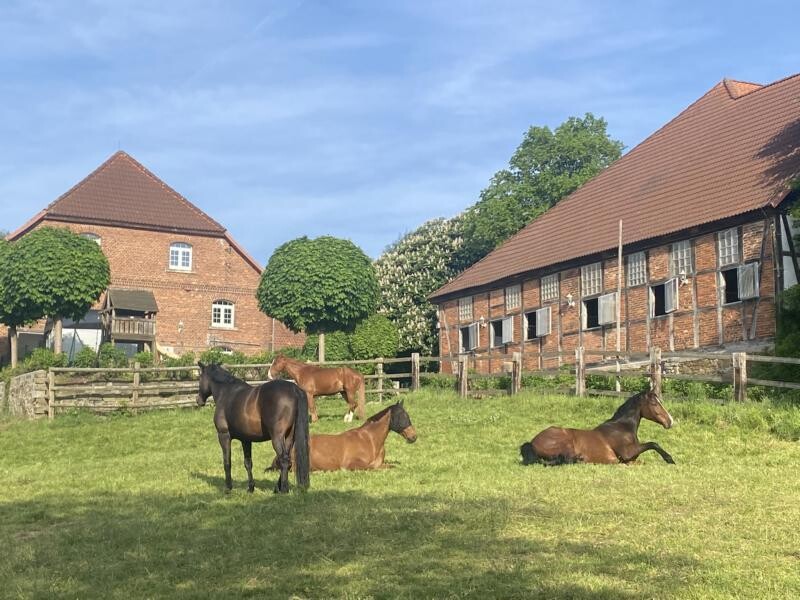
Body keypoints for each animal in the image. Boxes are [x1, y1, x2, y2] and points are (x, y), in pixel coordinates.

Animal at [196, 361, 310, 493]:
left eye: (200, 378)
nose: (198, 400)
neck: (226, 392)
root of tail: (294, 389)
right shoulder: (245, 439)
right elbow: (248, 463)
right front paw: (250, 487)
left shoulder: (224, 436)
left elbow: (227, 462)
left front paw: (228, 488)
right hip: (289, 437)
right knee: (288, 460)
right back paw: (277, 488)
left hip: (277, 437)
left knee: (284, 460)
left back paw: (283, 489)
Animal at [268, 400, 417, 472]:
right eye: (401, 416)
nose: (413, 437)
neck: (370, 440)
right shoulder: (353, 464)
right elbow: (372, 467)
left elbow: (389, 466)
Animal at [520, 389, 676, 466]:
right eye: (654, 404)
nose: (670, 421)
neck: (621, 428)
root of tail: (532, 442)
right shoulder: (627, 453)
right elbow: (653, 444)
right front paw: (670, 459)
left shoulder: (632, 458)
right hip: (565, 443)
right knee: (565, 460)